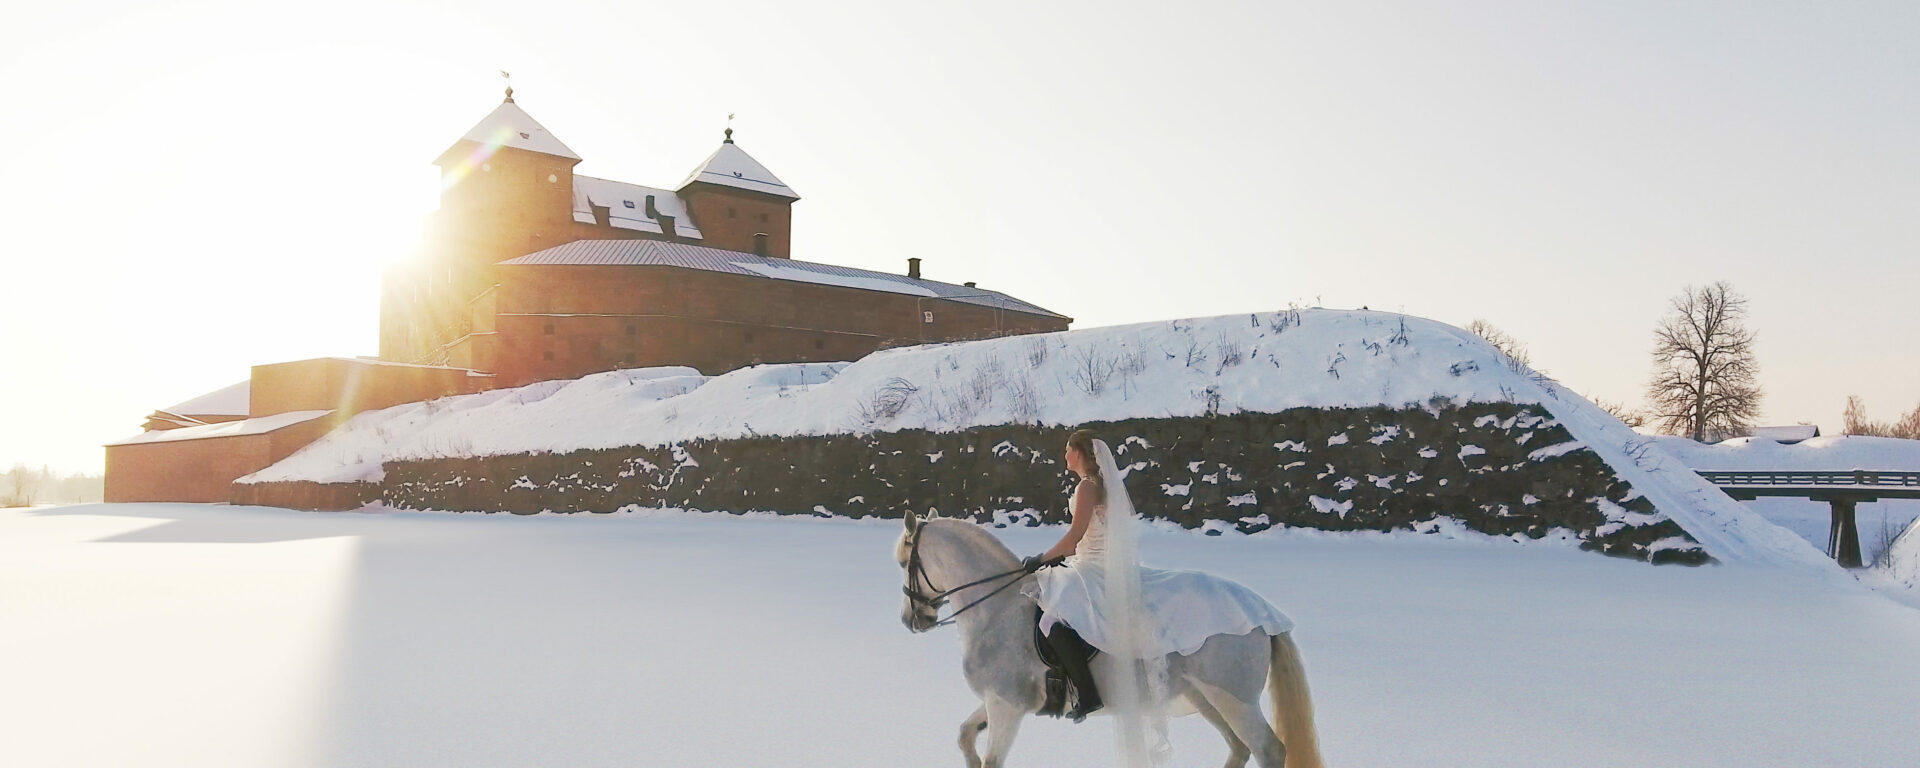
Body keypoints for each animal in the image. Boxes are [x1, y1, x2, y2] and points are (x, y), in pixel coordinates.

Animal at [894, 510, 1320, 768]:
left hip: (1235, 700)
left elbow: (990, 760)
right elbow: (966, 734)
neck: (998, 608)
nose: (911, 620)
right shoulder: (999, 702)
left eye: (903, 563)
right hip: (1208, 699)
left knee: (1268, 750)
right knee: (1239, 747)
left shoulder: (1007, 707)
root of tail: (1261, 613)